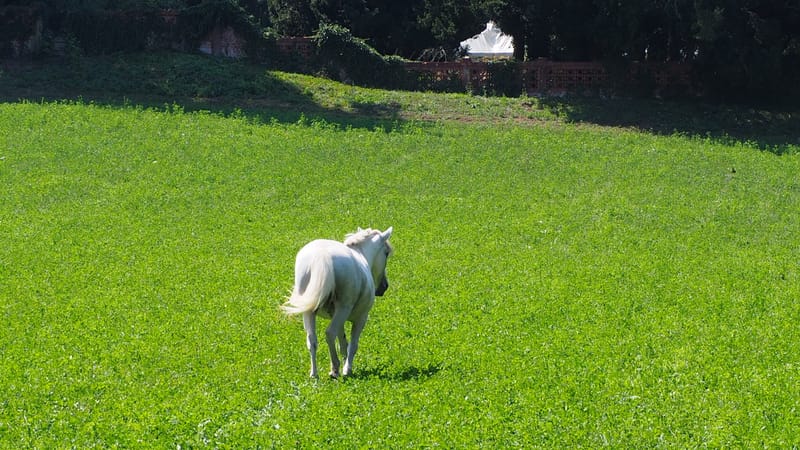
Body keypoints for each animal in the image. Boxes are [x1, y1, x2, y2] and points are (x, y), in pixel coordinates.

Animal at [282, 227, 394, 378]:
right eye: (386, 253)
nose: (384, 287)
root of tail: (321, 257)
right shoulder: (361, 318)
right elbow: (353, 344)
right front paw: (347, 369)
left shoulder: (338, 317)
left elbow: (343, 342)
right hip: (343, 309)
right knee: (330, 333)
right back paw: (335, 369)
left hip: (310, 311)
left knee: (312, 340)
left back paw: (314, 374)